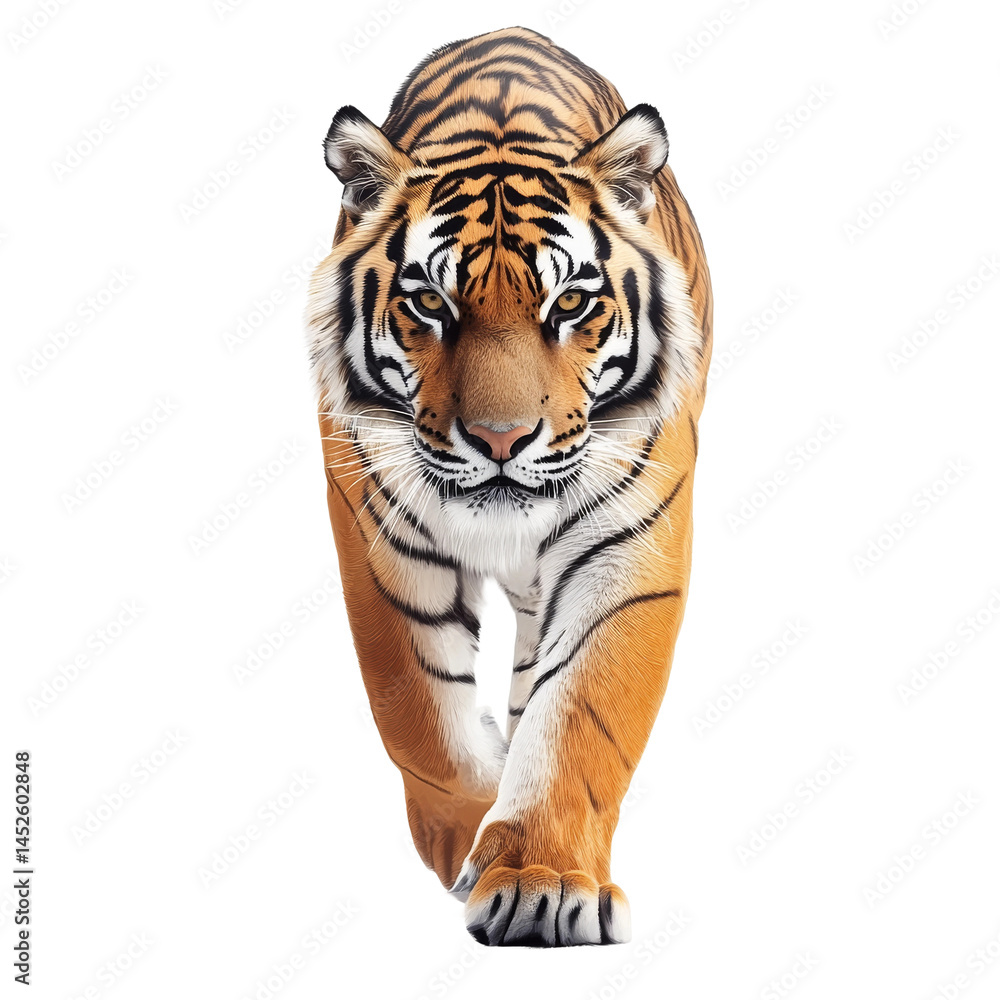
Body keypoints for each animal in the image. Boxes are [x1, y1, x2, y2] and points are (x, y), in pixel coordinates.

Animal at [306, 26, 712, 947]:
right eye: (429, 303)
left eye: (571, 304)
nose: (499, 440)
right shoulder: (376, 534)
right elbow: (418, 710)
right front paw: (468, 838)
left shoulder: (627, 546)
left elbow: (581, 718)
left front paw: (541, 881)